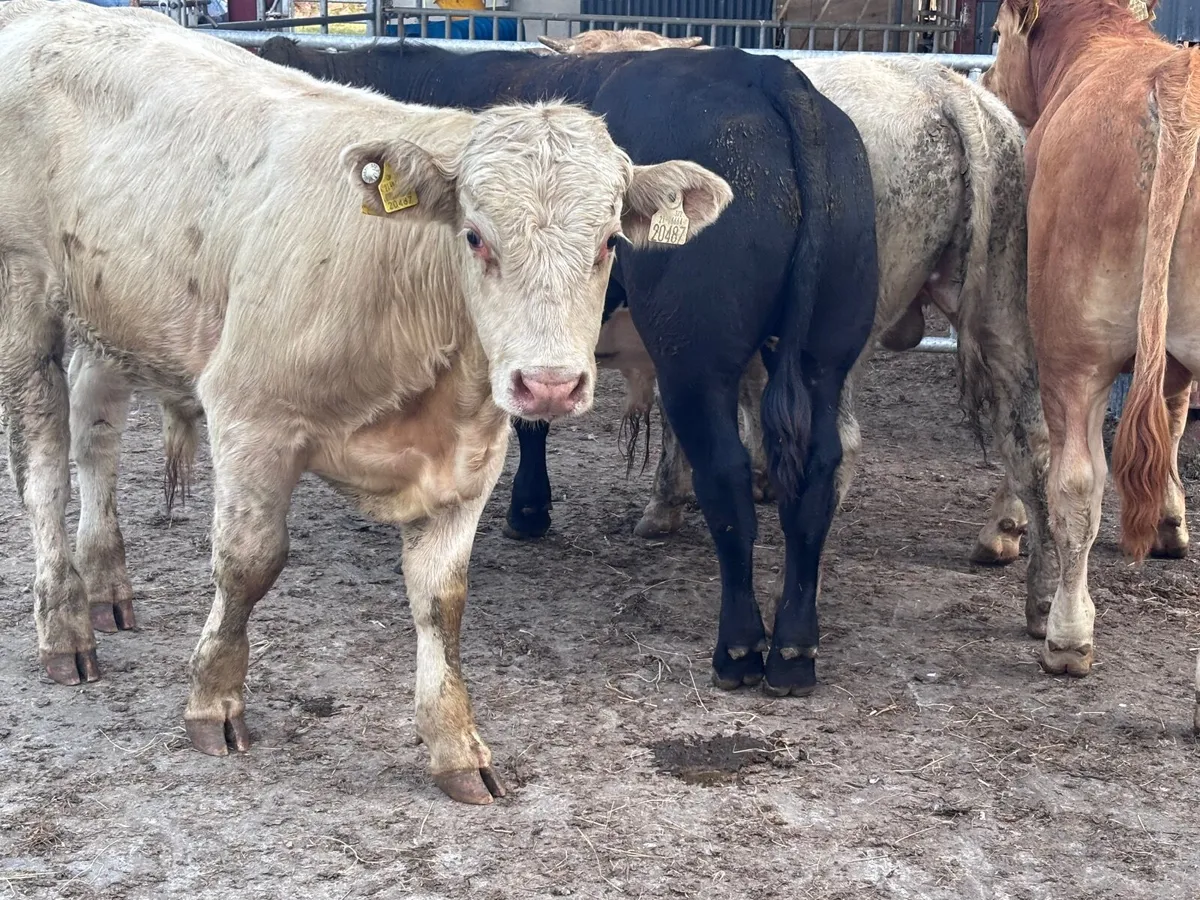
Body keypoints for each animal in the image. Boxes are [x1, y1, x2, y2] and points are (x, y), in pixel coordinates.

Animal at [0, 0, 731, 805]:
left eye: (607, 242)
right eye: (475, 236)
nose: (548, 384)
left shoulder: (473, 459)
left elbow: (442, 601)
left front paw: (456, 745)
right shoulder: (249, 413)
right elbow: (247, 564)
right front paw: (213, 703)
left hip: (111, 312)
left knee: (94, 431)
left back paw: (107, 588)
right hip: (24, 293)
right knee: (43, 464)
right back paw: (65, 626)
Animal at [256, 35, 880, 699]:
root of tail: (768, 76)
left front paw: (524, 510)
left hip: (697, 358)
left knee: (727, 477)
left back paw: (739, 649)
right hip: (824, 352)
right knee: (819, 472)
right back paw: (795, 648)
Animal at [528, 31, 1060, 633]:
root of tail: (944, 88)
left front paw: (667, 503)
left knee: (841, 445)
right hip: (1001, 304)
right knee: (1031, 434)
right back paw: (1032, 578)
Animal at [982, 0, 1199, 714]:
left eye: (995, 33)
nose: (987, 81)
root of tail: (1177, 86)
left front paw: (1007, 525)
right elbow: (1173, 415)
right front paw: (1170, 522)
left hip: (1072, 348)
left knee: (1076, 481)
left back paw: (1067, 636)